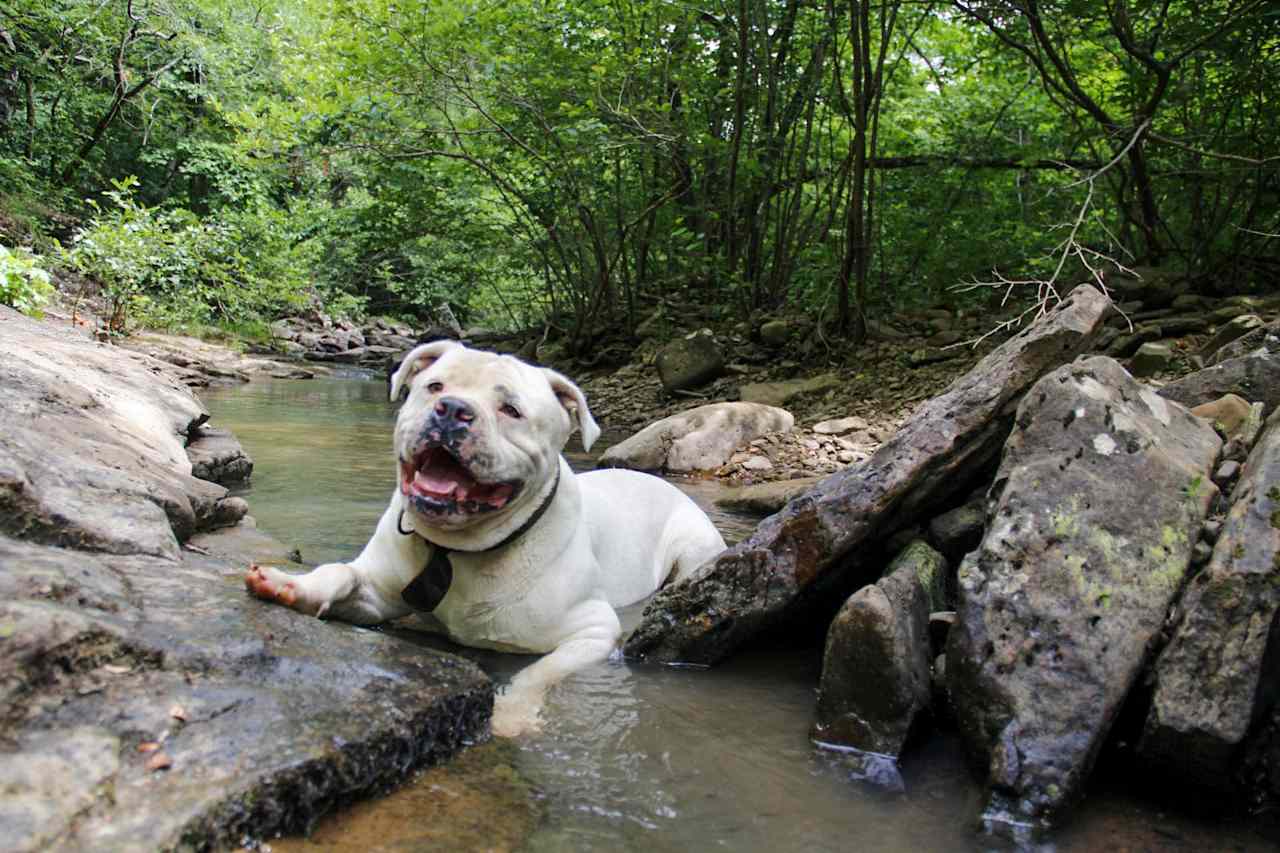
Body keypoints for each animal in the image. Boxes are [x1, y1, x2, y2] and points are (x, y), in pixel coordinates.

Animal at [239, 343, 721, 732]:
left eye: (512, 410)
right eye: (434, 386)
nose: (452, 409)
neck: (458, 548)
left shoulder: (593, 633)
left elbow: (539, 673)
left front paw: (510, 716)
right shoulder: (377, 593)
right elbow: (340, 573)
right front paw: (293, 585)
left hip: (694, 547)